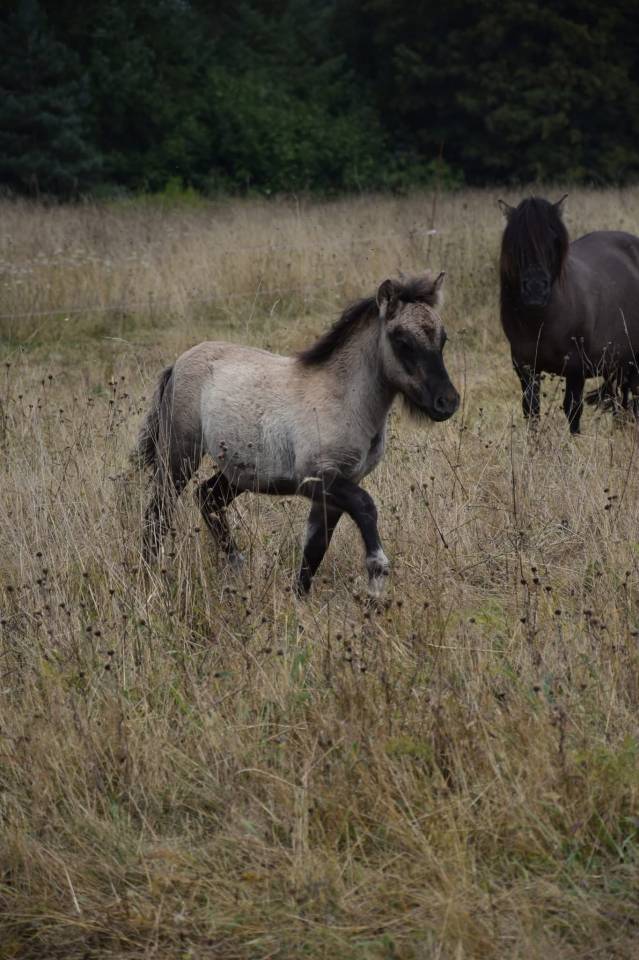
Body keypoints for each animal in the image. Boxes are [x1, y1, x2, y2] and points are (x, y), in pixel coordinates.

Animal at [133, 271, 460, 596]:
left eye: (443, 339)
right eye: (402, 341)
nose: (447, 402)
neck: (344, 398)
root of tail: (178, 363)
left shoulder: (340, 485)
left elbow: (315, 548)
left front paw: (300, 601)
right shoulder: (316, 479)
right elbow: (365, 506)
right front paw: (377, 579)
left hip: (240, 471)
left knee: (206, 498)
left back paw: (236, 564)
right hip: (180, 456)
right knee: (158, 511)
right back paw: (149, 576)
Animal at [499, 195, 639, 433]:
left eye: (555, 240)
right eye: (515, 243)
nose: (535, 290)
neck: (540, 321)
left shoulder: (575, 367)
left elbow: (573, 410)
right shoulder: (524, 366)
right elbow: (531, 410)